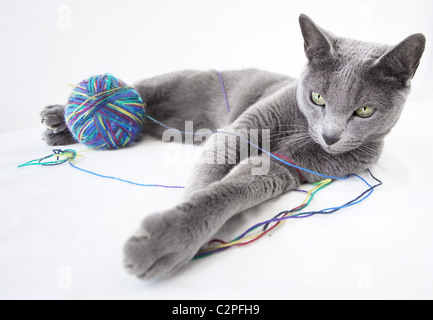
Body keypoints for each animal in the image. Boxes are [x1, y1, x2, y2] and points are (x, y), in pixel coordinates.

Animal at [38, 14, 424, 280]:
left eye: (364, 111)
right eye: (317, 98)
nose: (330, 137)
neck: (302, 128)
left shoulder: (288, 166)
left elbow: (235, 187)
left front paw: (171, 239)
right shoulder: (243, 129)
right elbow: (209, 177)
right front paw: (176, 234)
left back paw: (62, 131)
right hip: (169, 83)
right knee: (132, 91)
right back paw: (60, 117)